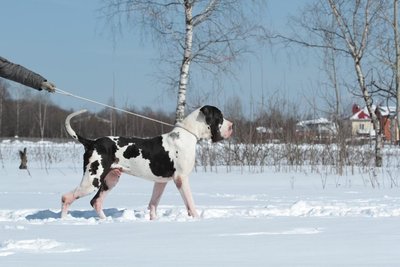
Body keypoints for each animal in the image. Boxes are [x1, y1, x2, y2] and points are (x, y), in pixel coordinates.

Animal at [61, 105, 233, 221]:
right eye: (220, 117)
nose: (232, 125)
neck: (187, 135)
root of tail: (92, 142)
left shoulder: (160, 182)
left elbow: (153, 204)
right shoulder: (181, 179)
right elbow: (190, 203)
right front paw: (197, 219)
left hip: (110, 180)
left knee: (96, 201)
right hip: (92, 181)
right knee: (66, 197)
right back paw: (63, 221)